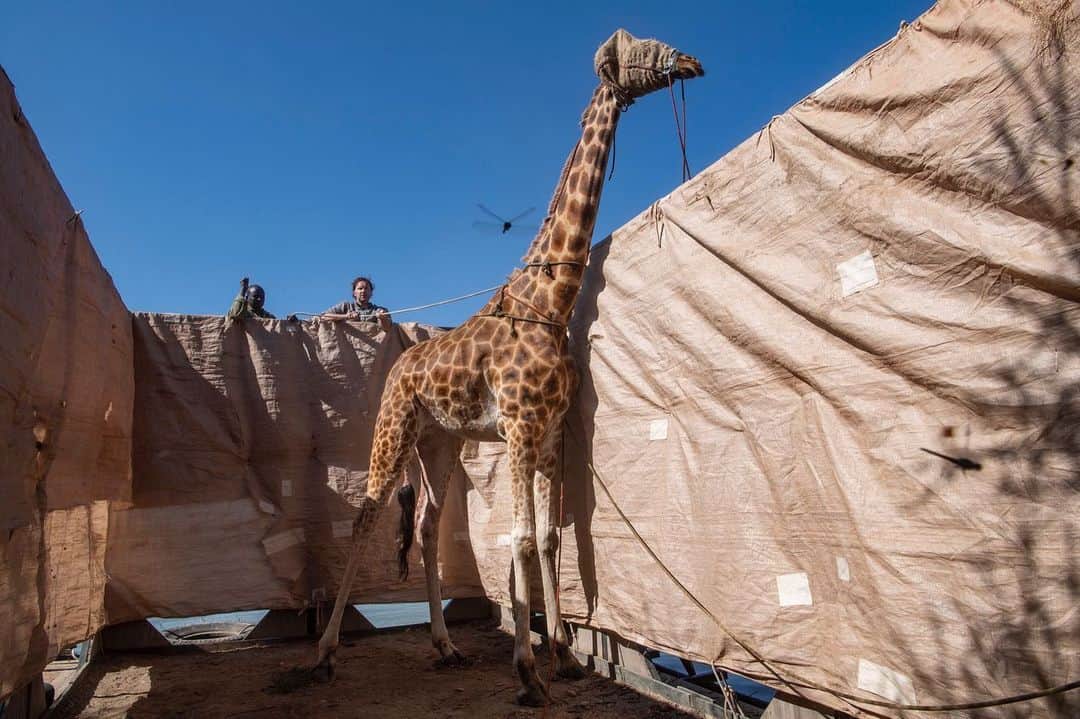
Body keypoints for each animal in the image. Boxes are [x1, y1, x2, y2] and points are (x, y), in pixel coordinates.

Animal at [314, 29, 704, 706]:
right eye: (637, 46)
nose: (689, 61)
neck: (551, 301)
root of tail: (399, 364)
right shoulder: (520, 425)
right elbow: (520, 537)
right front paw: (526, 671)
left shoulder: (550, 433)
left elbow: (547, 538)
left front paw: (562, 658)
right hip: (393, 428)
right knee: (365, 516)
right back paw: (324, 655)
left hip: (439, 442)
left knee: (427, 526)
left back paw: (446, 647)